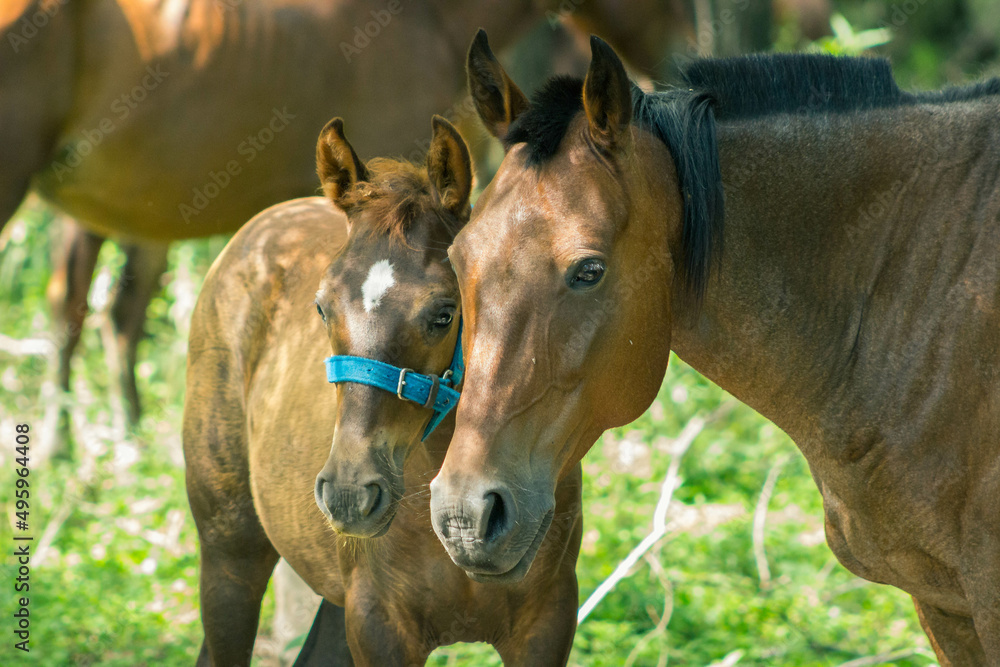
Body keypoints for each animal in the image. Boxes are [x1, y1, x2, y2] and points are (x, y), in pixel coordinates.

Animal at [182, 115, 582, 666]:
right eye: (322, 307)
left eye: (444, 313)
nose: (350, 492)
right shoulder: (378, 623)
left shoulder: (546, 622)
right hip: (230, 558)